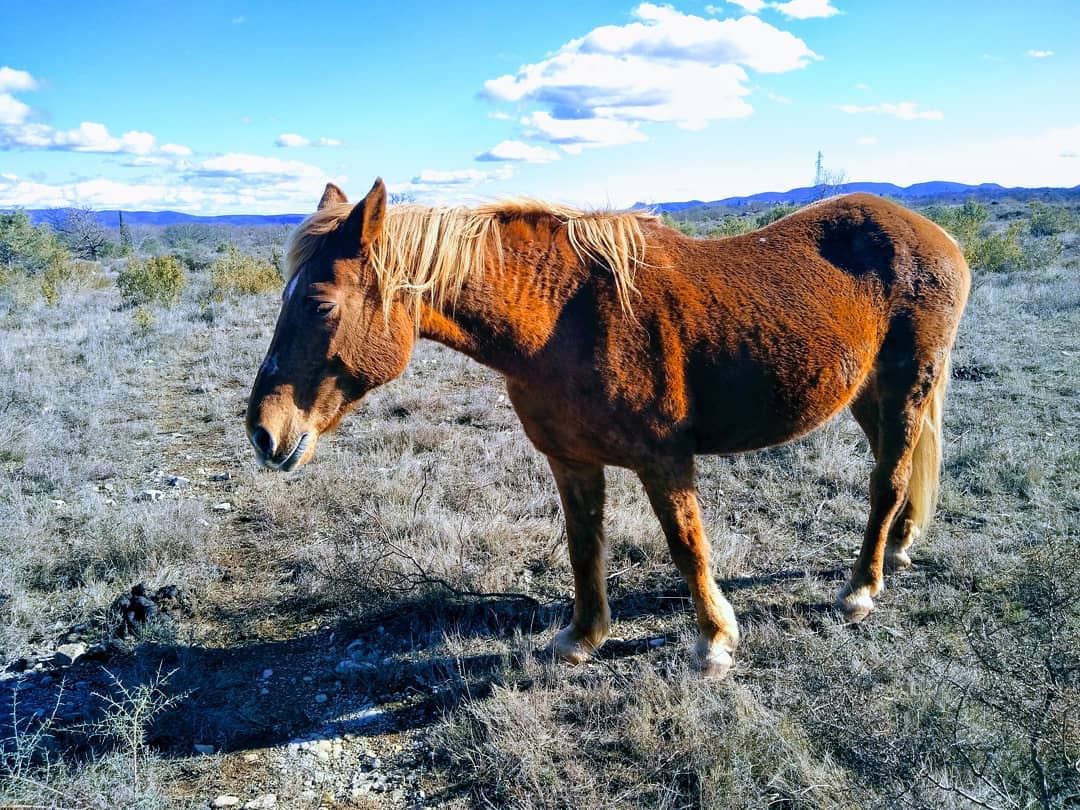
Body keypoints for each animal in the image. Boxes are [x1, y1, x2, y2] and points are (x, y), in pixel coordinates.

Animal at [246, 179, 970, 677]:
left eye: (319, 304)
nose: (263, 433)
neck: (561, 322)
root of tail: (940, 239)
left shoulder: (665, 460)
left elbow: (686, 546)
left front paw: (714, 641)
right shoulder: (571, 461)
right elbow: (584, 545)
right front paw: (582, 637)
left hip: (906, 388)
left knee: (886, 480)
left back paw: (861, 589)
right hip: (868, 395)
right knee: (899, 473)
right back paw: (898, 550)